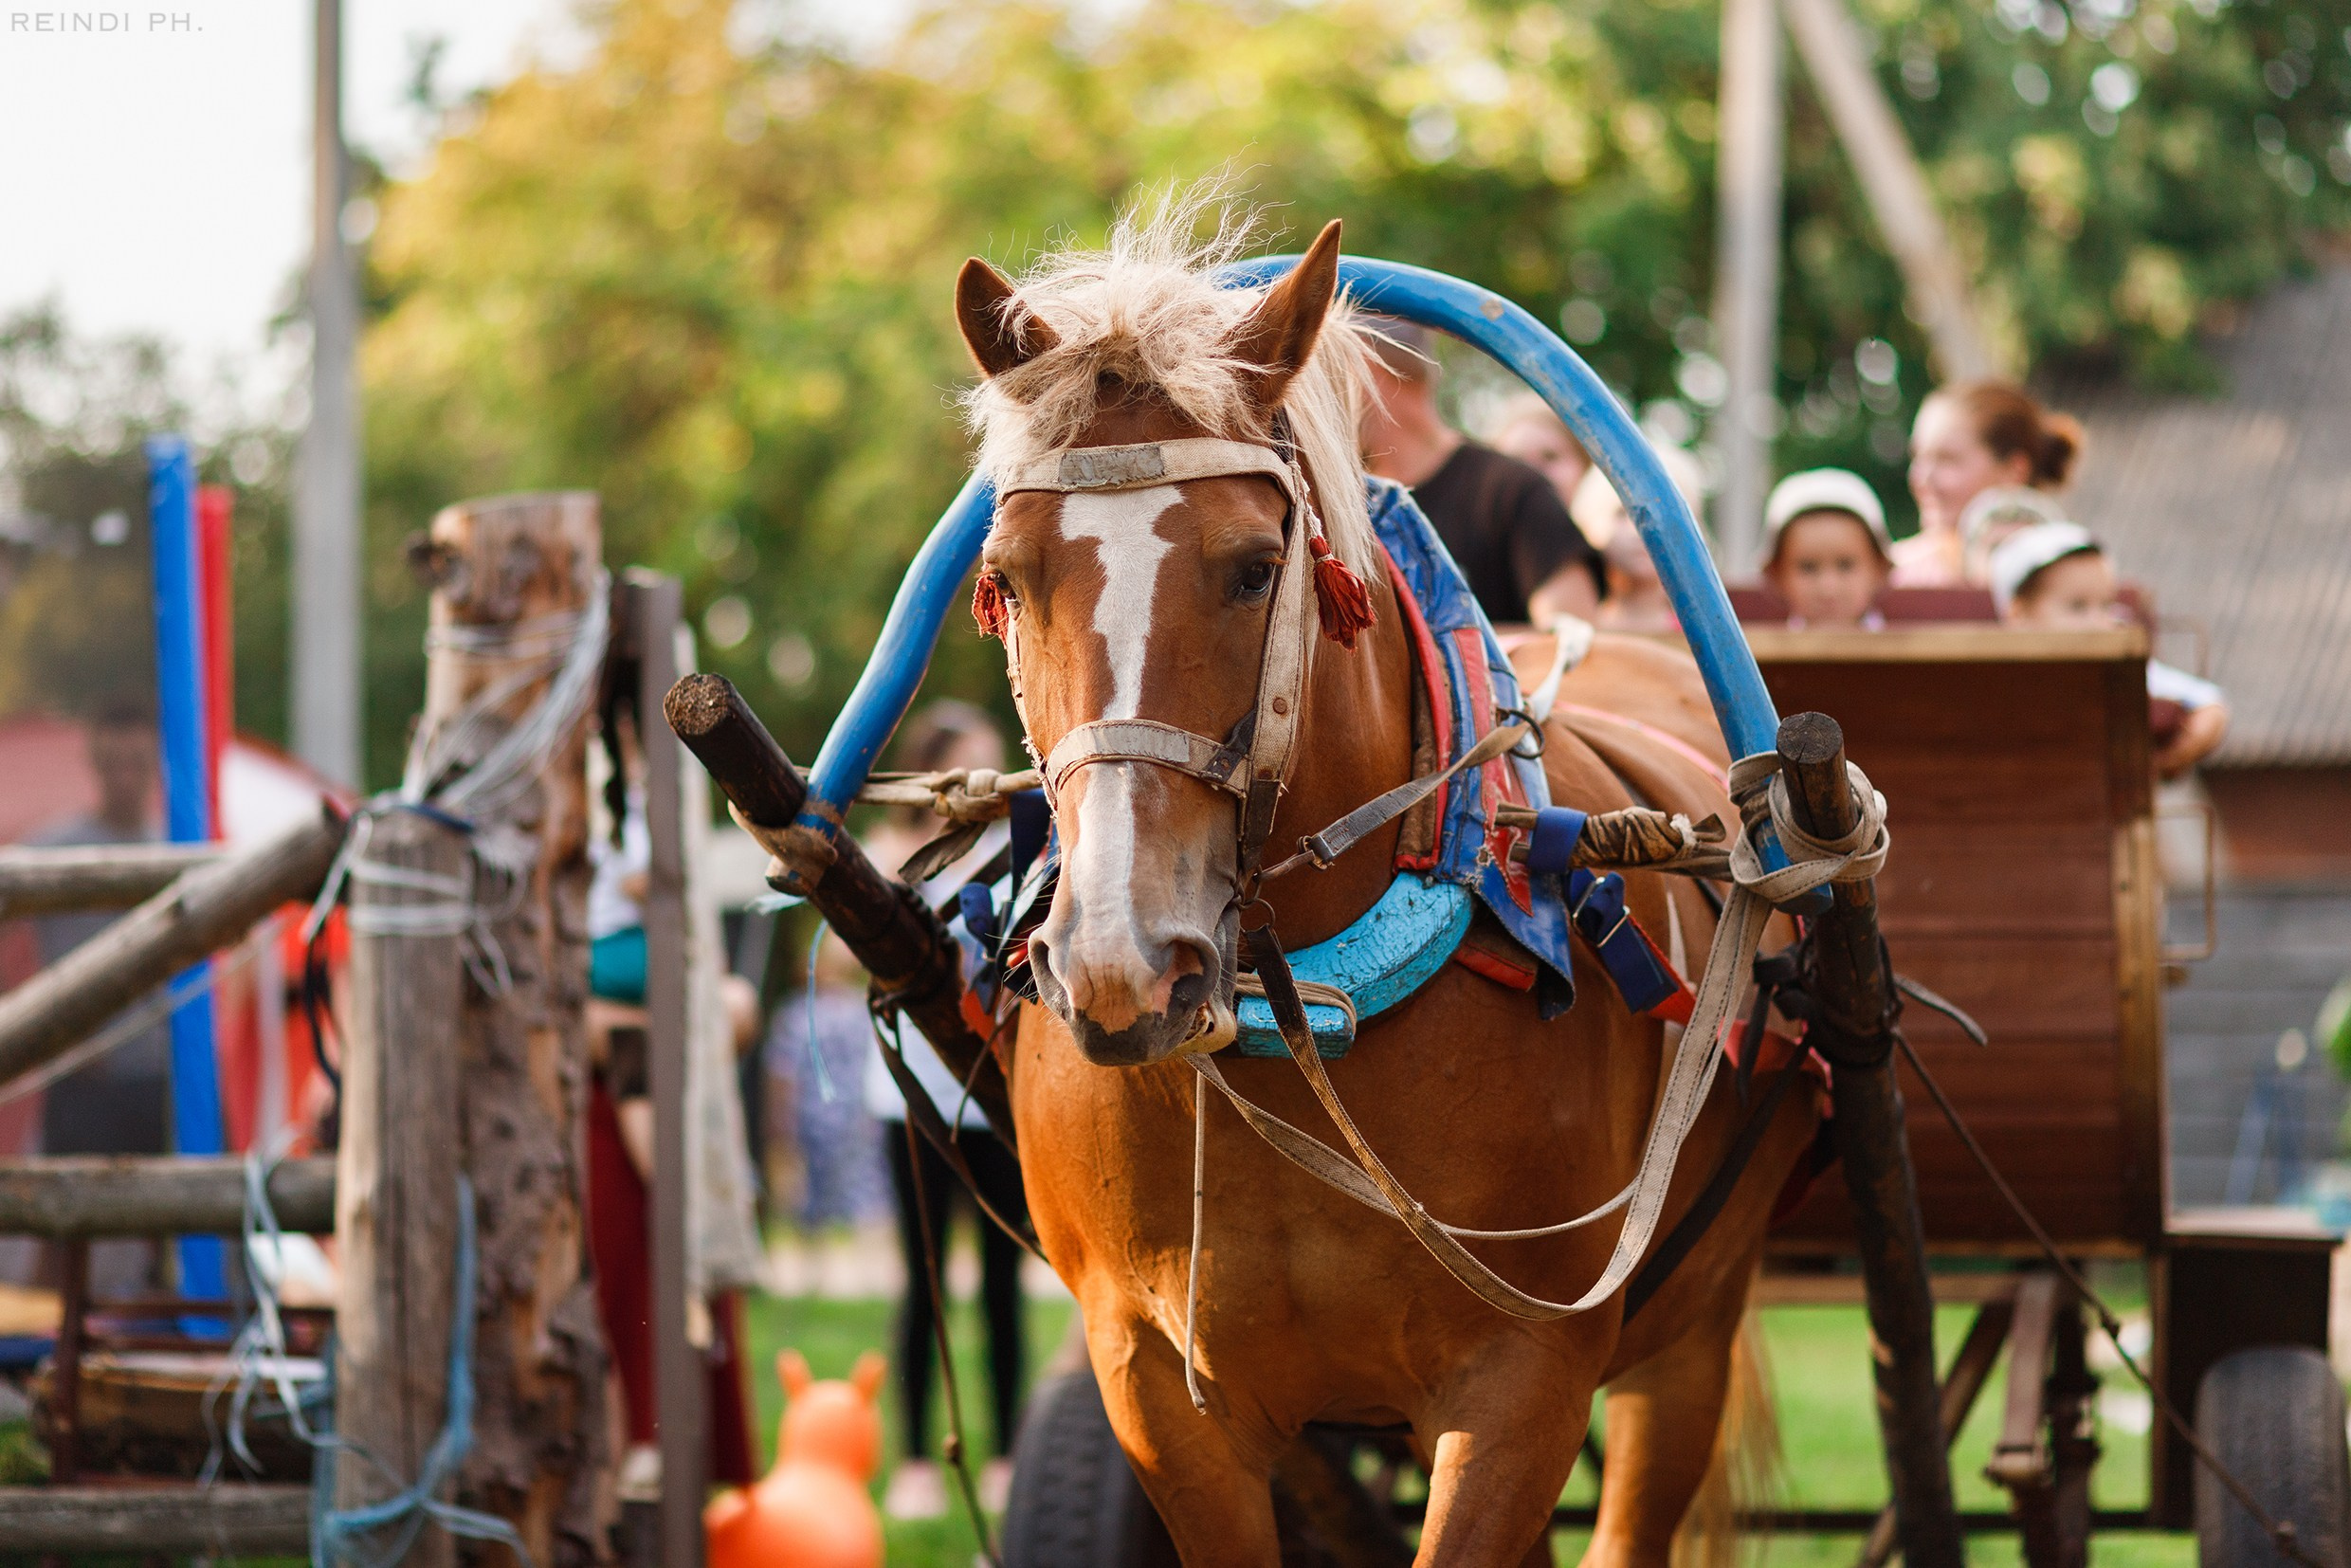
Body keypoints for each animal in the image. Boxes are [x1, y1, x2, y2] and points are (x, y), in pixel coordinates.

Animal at [956, 199, 1820, 1567]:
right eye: (1005, 575)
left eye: (1253, 566)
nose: (1120, 964)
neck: (1301, 1007)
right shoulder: (1153, 1386)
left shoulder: (1524, 1379)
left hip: (1685, 1335)